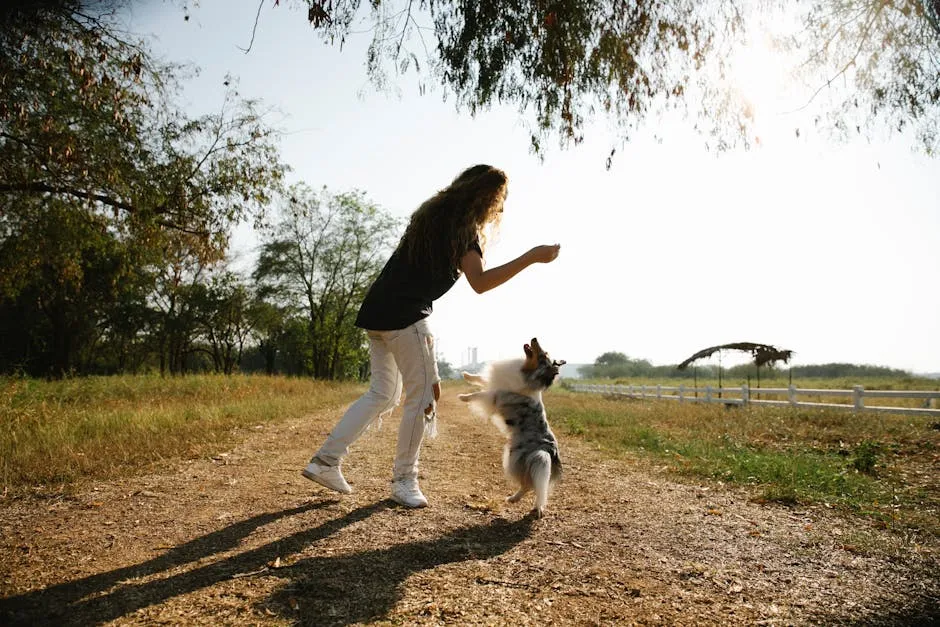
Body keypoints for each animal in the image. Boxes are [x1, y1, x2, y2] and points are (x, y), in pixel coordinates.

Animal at [458, 340, 560, 516]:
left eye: (542, 355)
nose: (534, 338)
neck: (526, 373)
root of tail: (549, 450)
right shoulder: (497, 382)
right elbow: (482, 379)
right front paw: (467, 375)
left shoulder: (496, 396)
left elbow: (478, 394)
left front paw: (464, 397)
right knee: (529, 484)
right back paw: (514, 499)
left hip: (516, 459)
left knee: (529, 485)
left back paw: (529, 504)